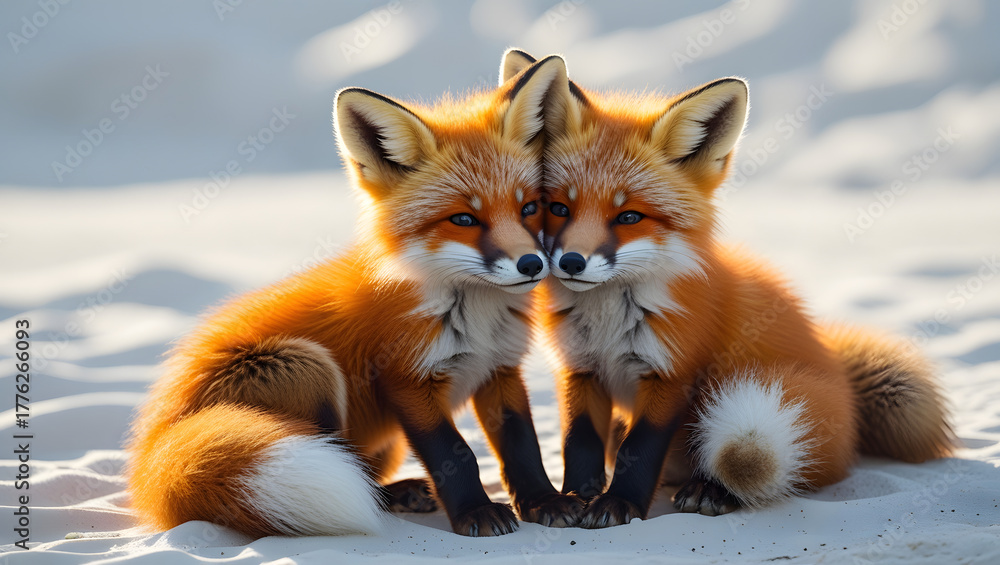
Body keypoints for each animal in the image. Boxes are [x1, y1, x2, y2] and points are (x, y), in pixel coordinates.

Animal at [125, 55, 585, 538]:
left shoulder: (499, 368)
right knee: (335, 465)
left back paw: (398, 493)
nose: (532, 265)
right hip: (304, 366)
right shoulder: (408, 380)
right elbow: (451, 454)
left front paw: (544, 502)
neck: (475, 317)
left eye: (529, 208)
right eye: (463, 218)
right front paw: (475, 512)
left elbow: (522, 446)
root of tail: (154, 446)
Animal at [500, 49, 955, 527]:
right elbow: (580, 443)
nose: (571, 262)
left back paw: (713, 489)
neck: (609, 323)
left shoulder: (672, 372)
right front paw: (573, 498)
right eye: (558, 208)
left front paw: (620, 503)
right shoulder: (580, 368)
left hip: (763, 397)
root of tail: (842, 379)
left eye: (629, 217)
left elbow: (639, 450)